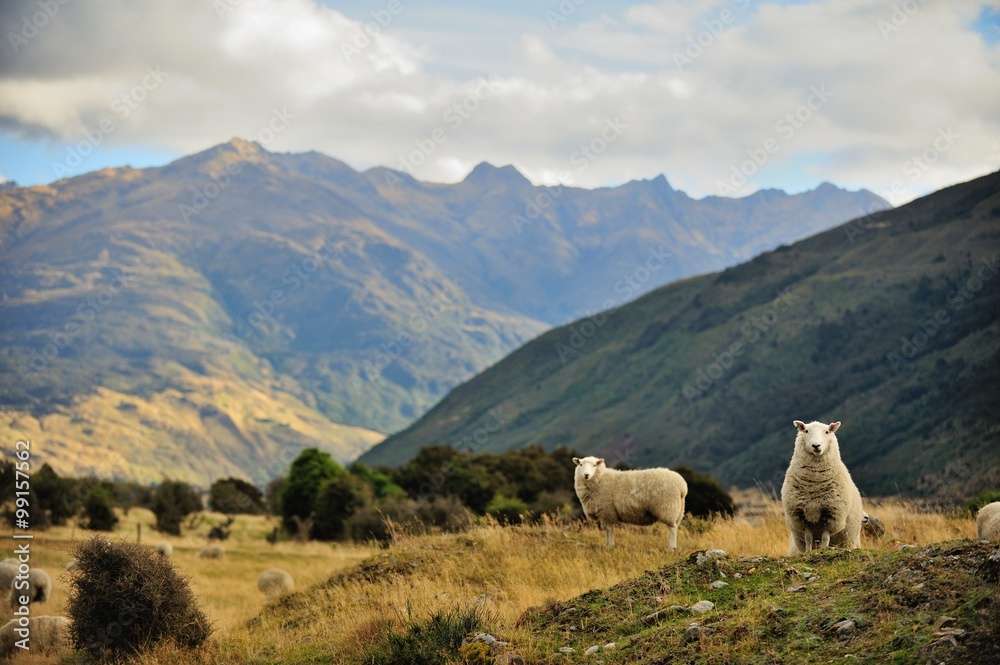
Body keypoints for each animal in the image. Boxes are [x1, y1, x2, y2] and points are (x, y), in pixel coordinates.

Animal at [781, 420, 864, 555]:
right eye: (806, 431)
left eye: (827, 431)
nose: (816, 445)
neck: (814, 484)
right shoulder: (803, 517)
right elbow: (808, 538)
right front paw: (808, 552)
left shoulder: (832, 515)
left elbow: (825, 538)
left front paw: (824, 550)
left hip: (848, 540)